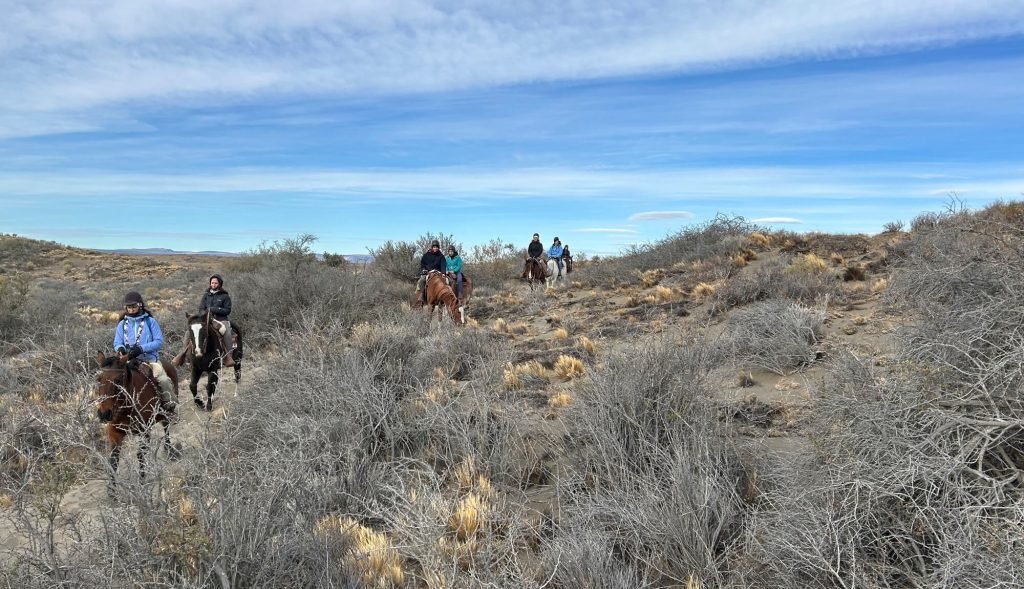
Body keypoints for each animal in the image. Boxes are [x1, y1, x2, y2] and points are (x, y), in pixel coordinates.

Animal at [94, 352, 178, 495]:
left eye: (118, 380)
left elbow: (140, 455)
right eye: (99, 379)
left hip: (166, 411)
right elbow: (113, 459)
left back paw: (170, 449)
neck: (127, 407)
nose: (104, 414)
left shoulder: (144, 431)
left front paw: (142, 482)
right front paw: (112, 490)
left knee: (166, 427)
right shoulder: (115, 432)